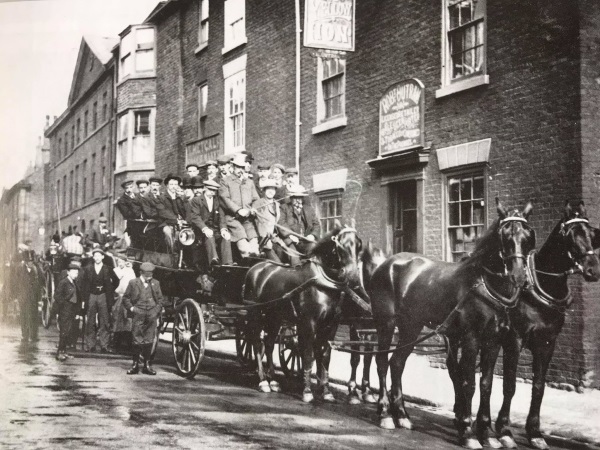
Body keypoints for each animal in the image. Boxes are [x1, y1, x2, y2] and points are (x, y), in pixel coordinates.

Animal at [243, 223, 360, 402]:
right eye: (342, 246)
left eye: (359, 245)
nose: (353, 276)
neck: (323, 282)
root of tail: (255, 268)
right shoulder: (309, 323)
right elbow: (308, 355)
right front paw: (307, 391)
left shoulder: (331, 325)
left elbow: (325, 357)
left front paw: (326, 391)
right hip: (255, 313)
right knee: (256, 343)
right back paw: (263, 381)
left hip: (274, 318)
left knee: (268, 344)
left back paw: (273, 381)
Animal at [366, 201, 536, 450]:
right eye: (504, 236)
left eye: (527, 236)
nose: (519, 277)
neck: (484, 283)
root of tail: (386, 264)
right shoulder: (471, 339)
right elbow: (468, 383)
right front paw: (468, 432)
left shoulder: (493, 341)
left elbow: (486, 384)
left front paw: (487, 434)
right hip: (386, 324)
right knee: (381, 363)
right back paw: (386, 414)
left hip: (411, 326)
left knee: (397, 363)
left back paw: (403, 415)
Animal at [488, 202, 600, 448]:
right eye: (570, 236)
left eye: (592, 234)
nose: (593, 270)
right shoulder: (514, 340)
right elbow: (509, 385)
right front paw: (505, 430)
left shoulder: (547, 343)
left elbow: (538, 387)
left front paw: (535, 433)